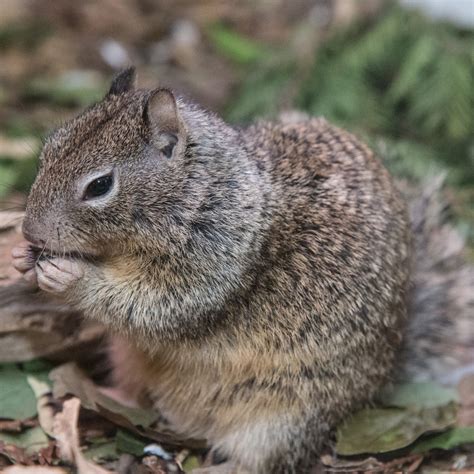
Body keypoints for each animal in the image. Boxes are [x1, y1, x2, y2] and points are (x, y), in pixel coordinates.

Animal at [11, 67, 474, 474]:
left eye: (100, 185)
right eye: (49, 148)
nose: (30, 229)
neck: (200, 192)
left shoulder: (213, 272)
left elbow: (150, 307)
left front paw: (71, 278)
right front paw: (20, 257)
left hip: (284, 417)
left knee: (265, 461)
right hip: (127, 357)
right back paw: (104, 393)